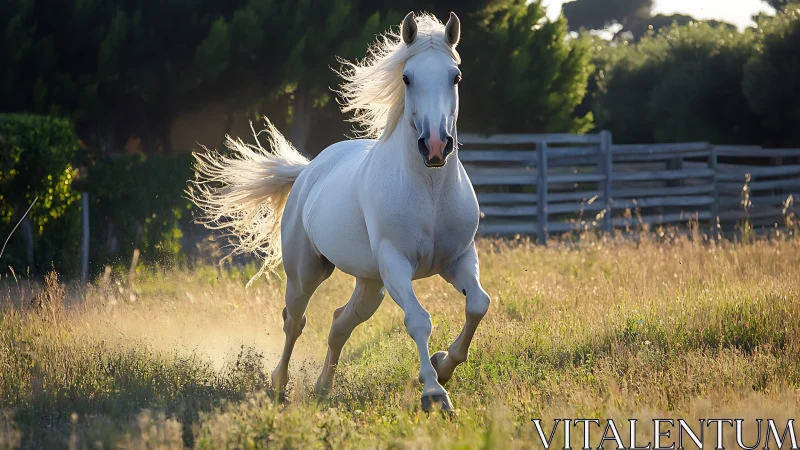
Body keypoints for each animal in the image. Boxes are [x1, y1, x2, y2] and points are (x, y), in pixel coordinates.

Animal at [189, 11, 491, 412]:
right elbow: (418, 320)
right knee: (295, 321)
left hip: (371, 284)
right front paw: (433, 392)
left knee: (339, 324)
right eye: (407, 78)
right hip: (307, 274)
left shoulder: (457, 259)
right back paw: (280, 384)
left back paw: (322, 387)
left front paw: (443, 365)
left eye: (455, 76)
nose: (436, 146)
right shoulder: (397, 264)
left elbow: (478, 304)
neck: (430, 192)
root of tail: (308, 169)